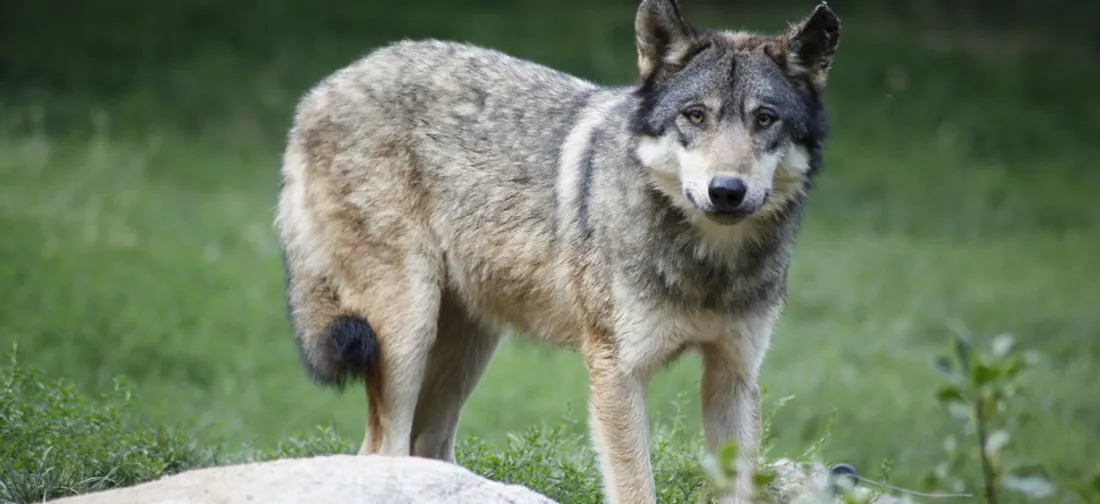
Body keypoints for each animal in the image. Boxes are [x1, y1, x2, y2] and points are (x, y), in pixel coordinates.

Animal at [275, 0, 841, 502]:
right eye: (695, 116)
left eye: (765, 119)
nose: (726, 191)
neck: (707, 266)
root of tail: (318, 92)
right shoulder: (617, 374)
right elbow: (636, 490)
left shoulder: (736, 376)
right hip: (406, 331)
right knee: (379, 449)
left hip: (468, 346)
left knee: (426, 446)